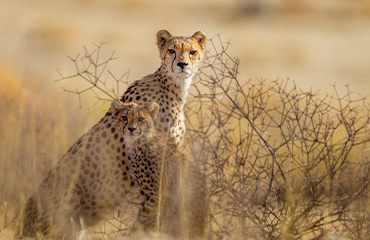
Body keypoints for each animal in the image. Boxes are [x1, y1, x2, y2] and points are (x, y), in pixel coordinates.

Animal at [110, 100, 208, 238]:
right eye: (124, 117)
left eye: (141, 119)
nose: (131, 129)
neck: (138, 142)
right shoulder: (148, 194)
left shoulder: (155, 195)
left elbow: (142, 219)